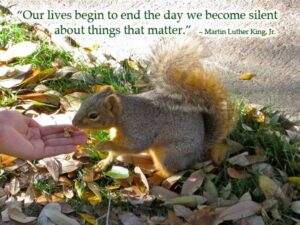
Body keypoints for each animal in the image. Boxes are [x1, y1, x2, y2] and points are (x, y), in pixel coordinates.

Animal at [72, 39, 234, 178]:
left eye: (93, 115)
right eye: (83, 102)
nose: (74, 123)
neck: (124, 115)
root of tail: (200, 149)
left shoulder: (138, 130)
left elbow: (134, 146)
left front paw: (103, 144)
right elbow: (115, 152)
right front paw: (104, 161)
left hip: (169, 154)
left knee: (170, 172)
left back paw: (155, 176)